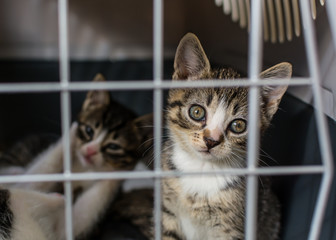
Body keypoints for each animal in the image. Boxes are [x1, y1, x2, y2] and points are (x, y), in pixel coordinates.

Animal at [160, 32, 292, 239]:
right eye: (196, 112)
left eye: (238, 125)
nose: (211, 140)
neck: (201, 169)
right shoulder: (169, 212)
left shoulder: (231, 228)